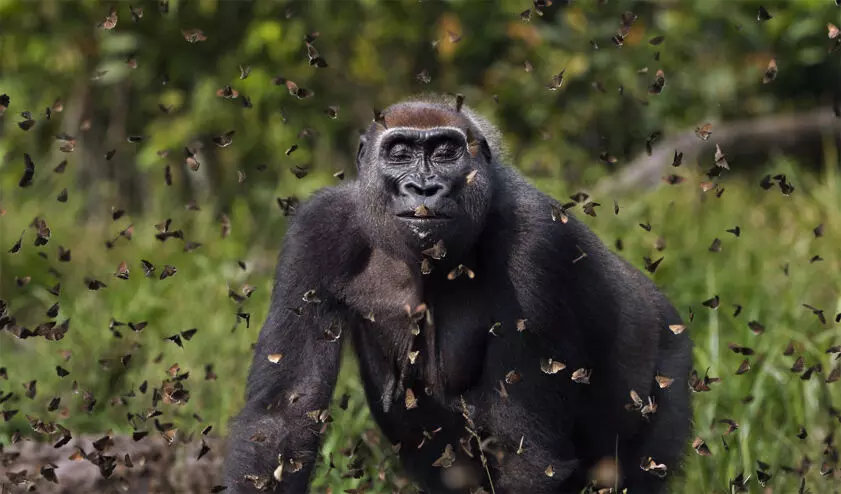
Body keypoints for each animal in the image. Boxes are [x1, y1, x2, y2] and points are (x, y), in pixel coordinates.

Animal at [220, 93, 692, 494]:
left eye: (445, 151)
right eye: (400, 152)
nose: (424, 188)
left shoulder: (536, 239)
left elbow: (529, 456)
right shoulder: (317, 230)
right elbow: (282, 420)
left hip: (670, 363)